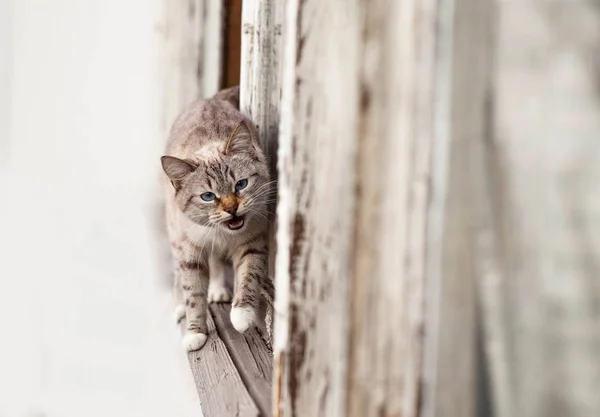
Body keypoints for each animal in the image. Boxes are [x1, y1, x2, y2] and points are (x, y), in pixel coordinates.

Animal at [164, 87, 276, 352]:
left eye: (241, 184)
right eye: (208, 196)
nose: (232, 209)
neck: (225, 233)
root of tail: (211, 98)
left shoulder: (253, 241)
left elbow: (248, 276)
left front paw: (242, 315)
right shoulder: (190, 251)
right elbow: (193, 293)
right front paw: (196, 333)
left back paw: (218, 290)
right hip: (175, 236)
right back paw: (182, 304)